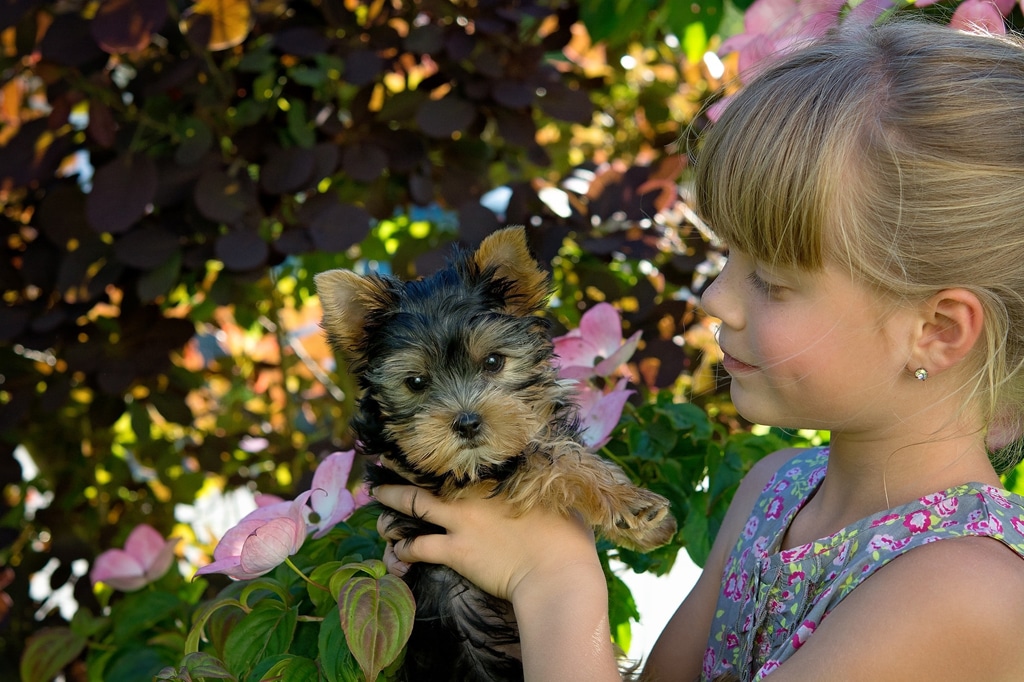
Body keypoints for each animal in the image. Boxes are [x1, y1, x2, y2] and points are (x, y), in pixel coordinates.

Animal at [315, 227, 675, 679]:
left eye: (492, 361)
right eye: (415, 382)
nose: (468, 423)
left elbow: (554, 447)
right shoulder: (446, 475)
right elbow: (547, 460)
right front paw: (632, 507)